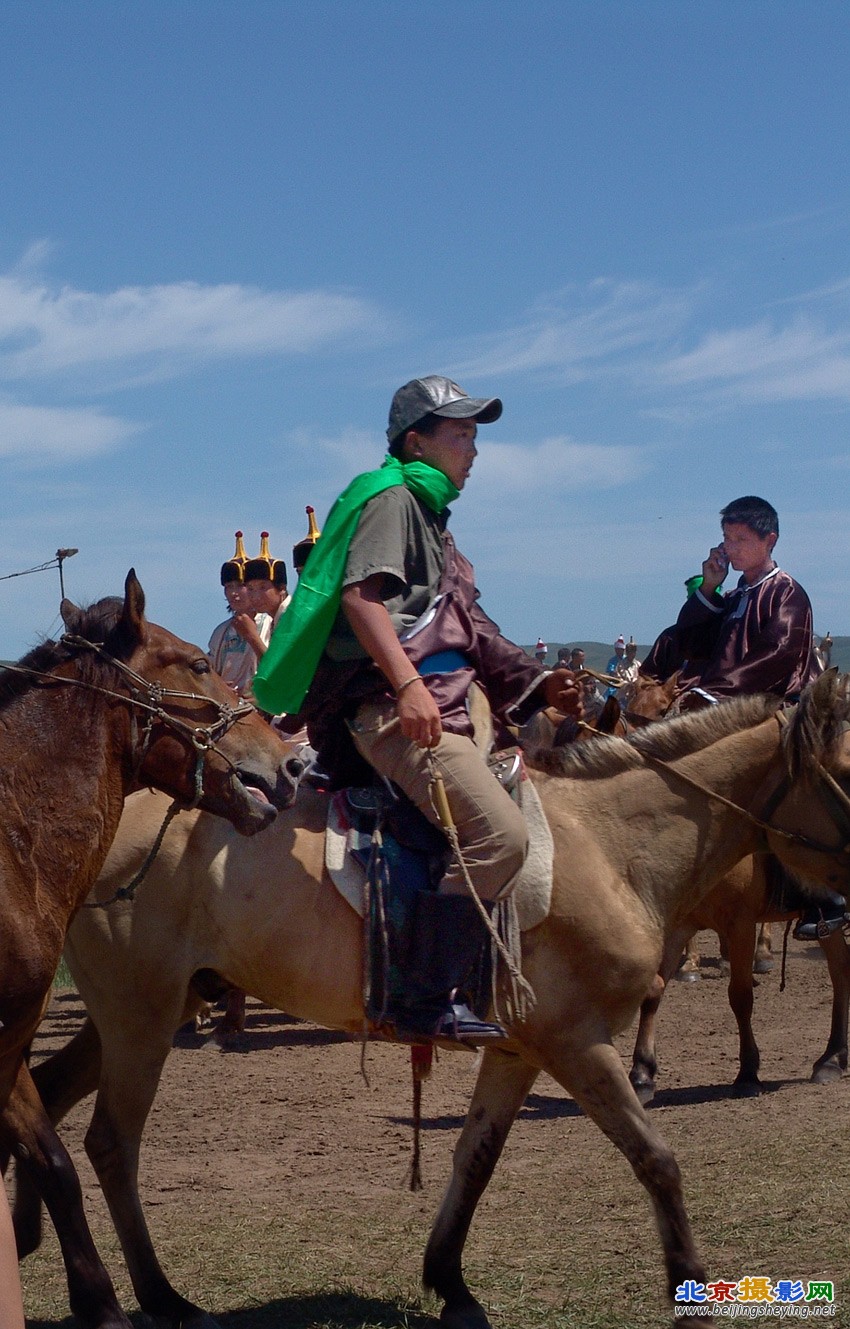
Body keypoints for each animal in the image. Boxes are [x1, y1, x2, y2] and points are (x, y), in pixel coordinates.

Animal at [0, 571, 293, 1329]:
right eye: (196, 662)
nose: (293, 762)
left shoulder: (12, 1038)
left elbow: (50, 1159)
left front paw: (101, 1297)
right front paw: (105, 1303)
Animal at [18, 675, 850, 1329]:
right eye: (847, 768)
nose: (833, 904)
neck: (610, 841)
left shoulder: (519, 1049)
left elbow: (475, 1157)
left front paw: (450, 1281)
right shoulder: (578, 1042)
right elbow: (656, 1158)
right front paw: (690, 1291)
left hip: (148, 1009)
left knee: (49, 1095)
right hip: (142, 1017)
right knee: (111, 1144)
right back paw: (160, 1297)